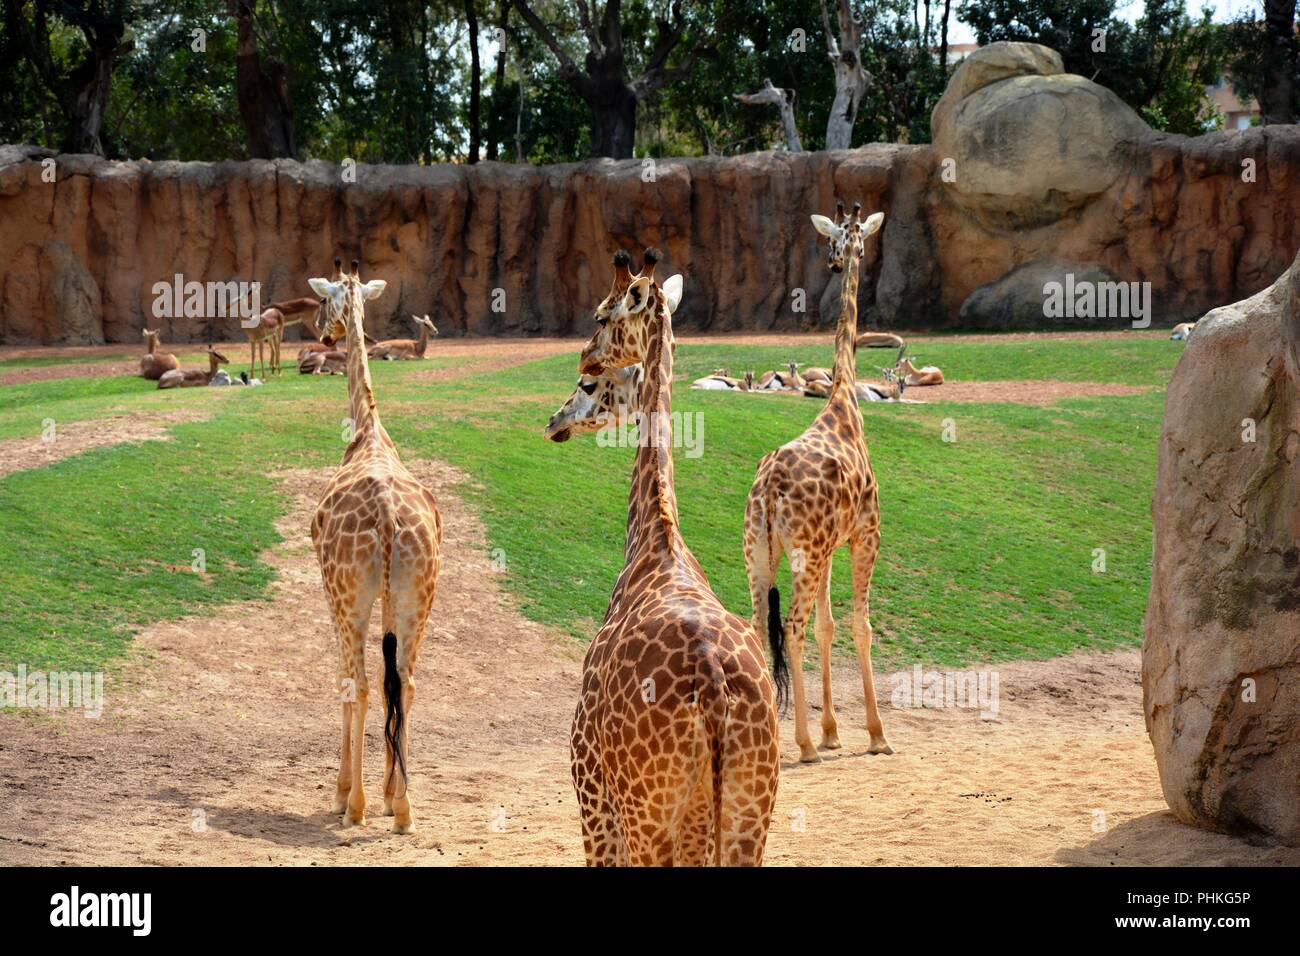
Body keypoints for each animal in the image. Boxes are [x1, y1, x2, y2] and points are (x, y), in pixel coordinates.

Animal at [570, 248, 779, 866]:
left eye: (601, 314)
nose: (583, 355)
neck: (654, 537)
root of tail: (712, 693)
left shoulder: (591, 794)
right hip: (748, 813)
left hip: (650, 816)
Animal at [743, 201, 894, 763]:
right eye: (847, 239)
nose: (836, 262)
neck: (845, 399)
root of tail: (768, 491)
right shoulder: (865, 534)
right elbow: (859, 626)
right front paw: (875, 734)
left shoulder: (831, 546)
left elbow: (831, 627)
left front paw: (834, 730)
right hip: (802, 554)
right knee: (792, 627)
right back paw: (803, 745)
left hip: (758, 554)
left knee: (759, 628)